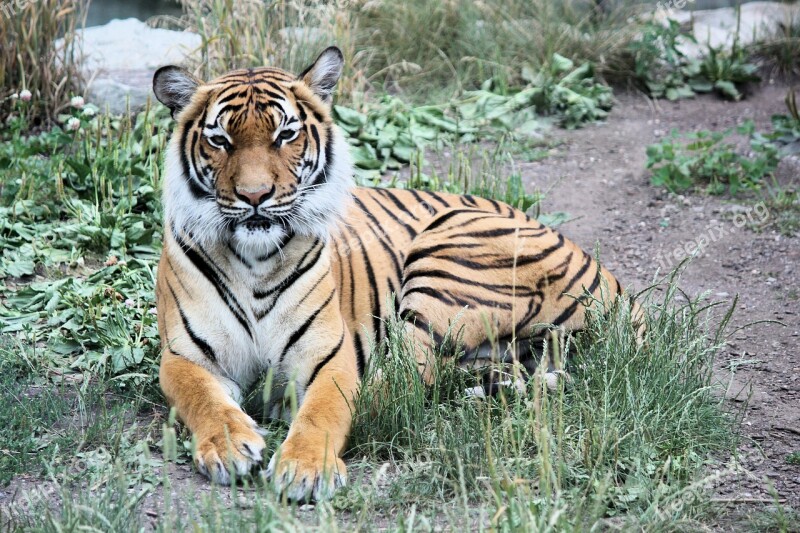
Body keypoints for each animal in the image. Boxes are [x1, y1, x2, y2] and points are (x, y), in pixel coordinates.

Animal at [152, 47, 636, 500]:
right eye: (220, 140)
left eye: (285, 134)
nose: (255, 196)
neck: (254, 258)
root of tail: (616, 285)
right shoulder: (185, 355)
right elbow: (203, 398)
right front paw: (229, 445)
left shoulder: (329, 355)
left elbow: (324, 410)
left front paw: (306, 468)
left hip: (446, 260)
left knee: (403, 386)